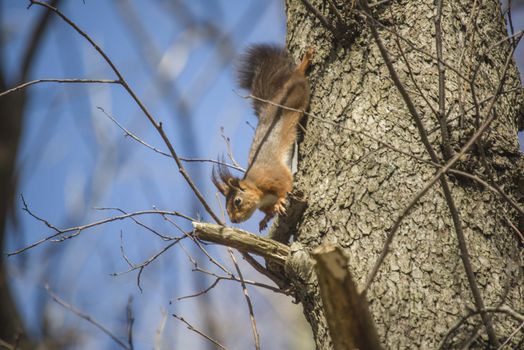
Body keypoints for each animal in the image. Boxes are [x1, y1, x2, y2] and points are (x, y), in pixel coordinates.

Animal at [212, 44, 314, 232]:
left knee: (298, 77)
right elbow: (269, 212)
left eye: (237, 201)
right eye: (226, 207)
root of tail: (273, 100)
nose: (233, 220)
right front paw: (265, 219)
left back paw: (304, 63)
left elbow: (286, 185)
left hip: (298, 95)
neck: (259, 192)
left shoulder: (274, 176)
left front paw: (280, 202)